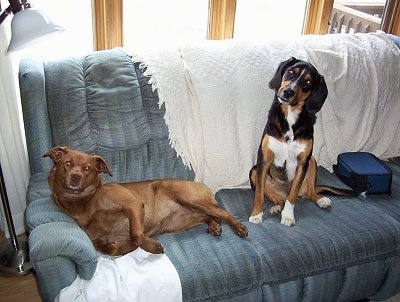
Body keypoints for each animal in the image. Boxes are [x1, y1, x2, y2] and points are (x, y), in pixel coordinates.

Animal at [248, 57, 354, 226]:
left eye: (308, 82)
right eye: (291, 72)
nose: (288, 92)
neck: (291, 116)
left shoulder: (303, 161)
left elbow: (292, 197)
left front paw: (288, 217)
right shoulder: (263, 159)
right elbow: (259, 193)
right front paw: (257, 215)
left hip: (312, 161)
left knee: (309, 193)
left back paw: (321, 200)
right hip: (253, 171)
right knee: (278, 198)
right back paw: (275, 207)